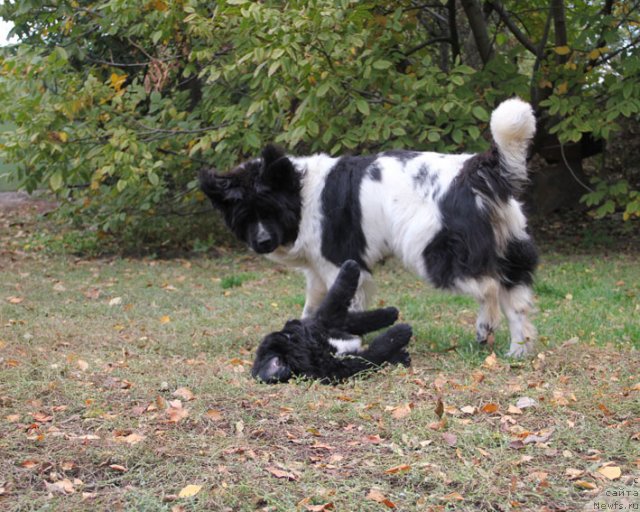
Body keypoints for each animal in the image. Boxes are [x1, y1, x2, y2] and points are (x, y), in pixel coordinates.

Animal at [201, 98, 540, 358]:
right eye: (245, 216)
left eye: (269, 211)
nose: (262, 241)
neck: (301, 193)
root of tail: (475, 170)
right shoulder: (318, 273)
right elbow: (313, 311)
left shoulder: (342, 267)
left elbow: (341, 311)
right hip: (511, 249)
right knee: (517, 302)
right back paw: (518, 351)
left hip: (432, 251)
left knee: (489, 287)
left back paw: (486, 325)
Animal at [250, 260, 410, 384]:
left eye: (287, 334)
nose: (294, 322)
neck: (317, 348)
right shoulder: (341, 365)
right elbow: (376, 350)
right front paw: (400, 332)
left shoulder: (325, 324)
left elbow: (338, 300)